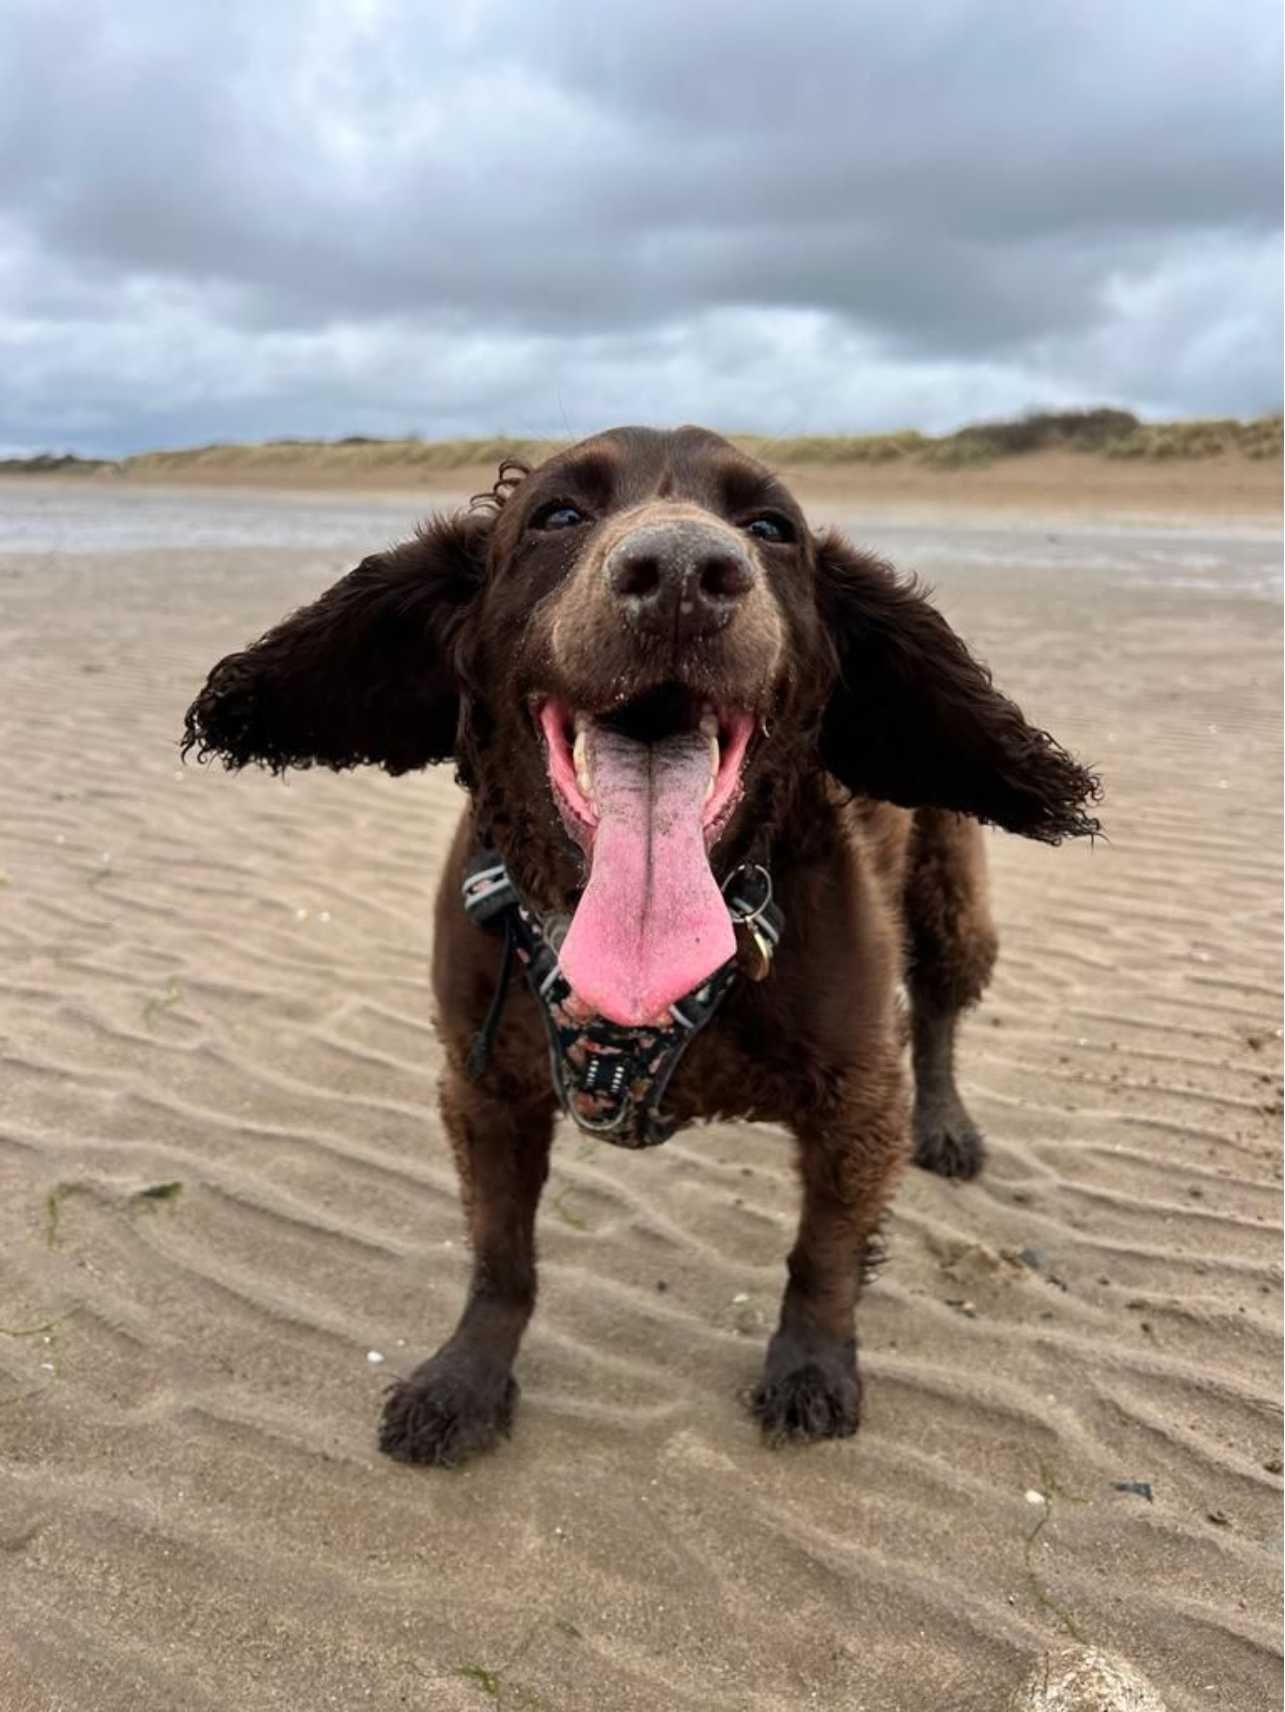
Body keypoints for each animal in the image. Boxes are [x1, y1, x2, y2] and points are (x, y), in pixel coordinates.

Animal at [181, 424, 1101, 1458]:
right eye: (556, 514)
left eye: (771, 527)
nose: (683, 577)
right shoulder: (483, 1088)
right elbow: (501, 1257)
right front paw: (466, 1378)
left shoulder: (858, 1093)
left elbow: (822, 1256)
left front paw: (811, 1367)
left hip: (949, 898)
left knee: (938, 1015)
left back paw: (943, 1124)